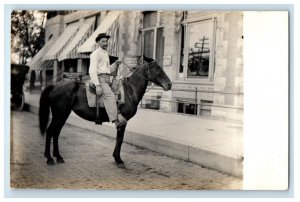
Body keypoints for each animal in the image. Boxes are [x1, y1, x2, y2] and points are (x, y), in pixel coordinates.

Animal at [38, 58, 172, 166]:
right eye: (157, 68)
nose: (169, 84)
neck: (129, 91)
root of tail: (54, 86)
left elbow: (119, 139)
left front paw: (116, 157)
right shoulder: (122, 121)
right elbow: (120, 139)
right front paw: (118, 159)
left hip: (62, 115)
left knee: (56, 133)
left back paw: (58, 157)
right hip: (59, 115)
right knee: (50, 132)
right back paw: (49, 158)